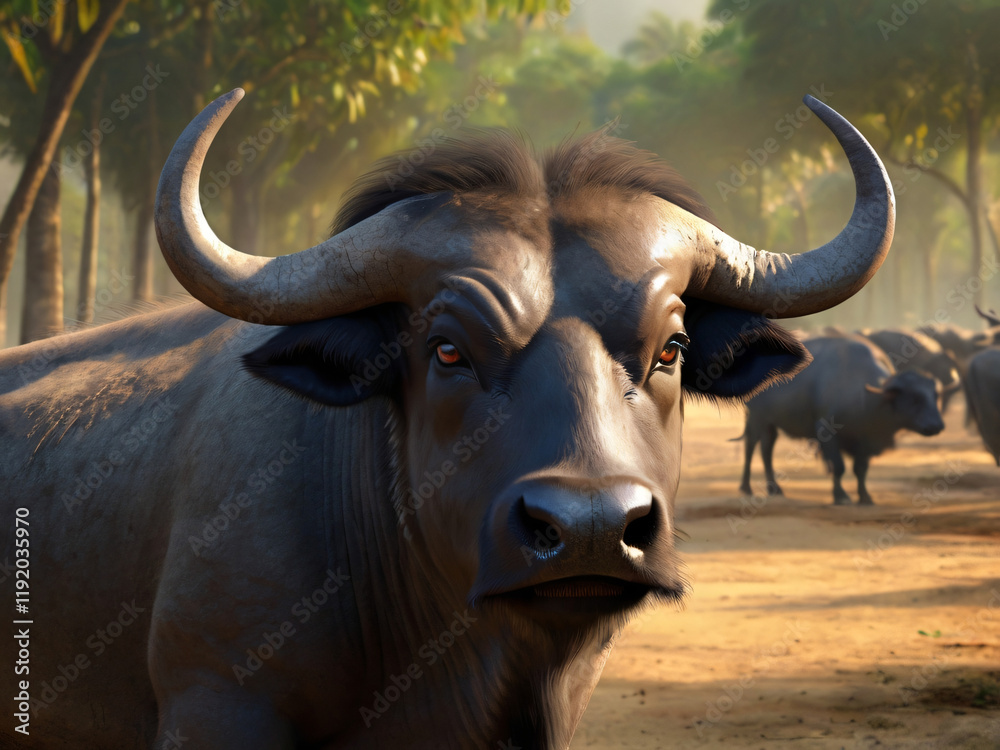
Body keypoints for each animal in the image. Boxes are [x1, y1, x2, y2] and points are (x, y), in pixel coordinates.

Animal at [739, 336, 943, 505]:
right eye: (915, 398)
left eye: (935, 396)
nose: (937, 425)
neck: (864, 398)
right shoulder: (826, 432)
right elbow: (838, 467)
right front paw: (841, 496)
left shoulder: (865, 439)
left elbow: (860, 469)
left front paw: (865, 497)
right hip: (757, 417)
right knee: (752, 447)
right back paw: (747, 487)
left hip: (770, 422)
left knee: (766, 449)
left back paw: (773, 488)